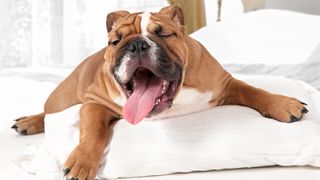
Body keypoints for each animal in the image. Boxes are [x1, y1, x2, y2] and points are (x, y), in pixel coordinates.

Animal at [11, 5, 308, 180]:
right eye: (116, 41)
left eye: (164, 34)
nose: (136, 45)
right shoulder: (95, 103)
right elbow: (93, 131)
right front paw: (82, 161)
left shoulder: (225, 84)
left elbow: (253, 90)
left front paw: (283, 104)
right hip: (61, 97)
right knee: (48, 112)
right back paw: (29, 122)